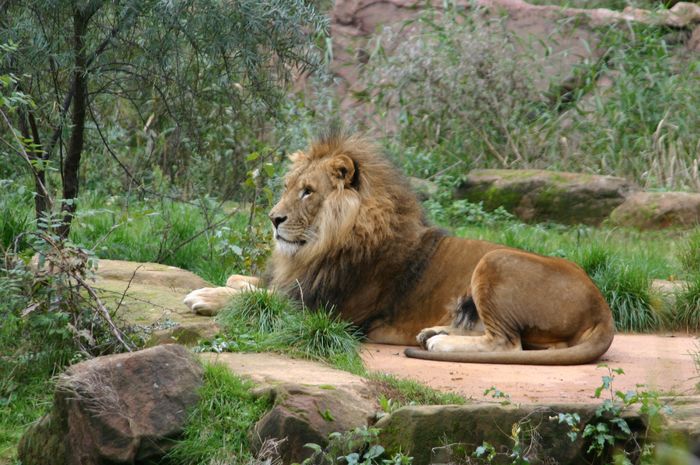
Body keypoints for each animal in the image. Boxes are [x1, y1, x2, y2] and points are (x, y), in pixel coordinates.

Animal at [185, 130, 612, 362]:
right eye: (288, 187)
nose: (274, 219)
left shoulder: (321, 310)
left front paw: (204, 296)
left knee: (509, 345)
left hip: (496, 259)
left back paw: (440, 342)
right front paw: (227, 283)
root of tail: (602, 306)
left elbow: (255, 299)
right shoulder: (300, 282)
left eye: (308, 192)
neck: (319, 246)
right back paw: (434, 332)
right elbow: (246, 282)